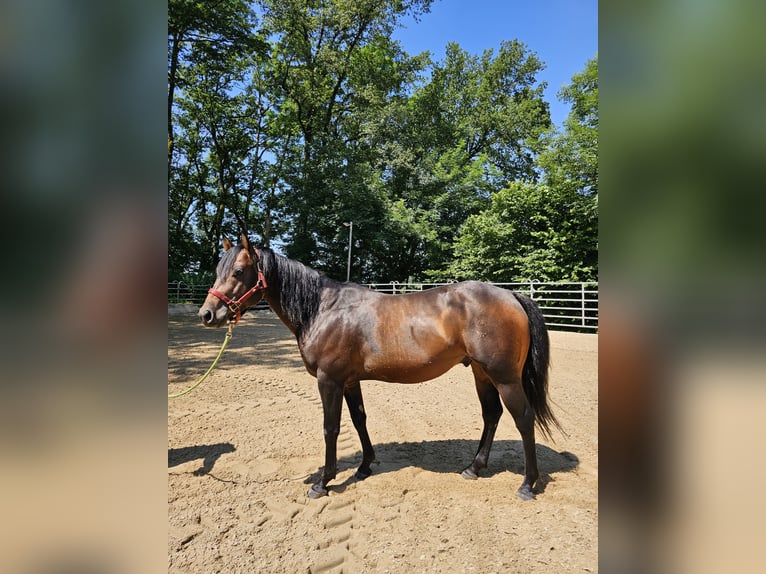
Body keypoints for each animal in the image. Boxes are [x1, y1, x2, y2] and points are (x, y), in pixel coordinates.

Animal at [198, 234, 562, 500]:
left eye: (238, 272)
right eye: (218, 271)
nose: (207, 314)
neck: (322, 309)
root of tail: (512, 296)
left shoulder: (329, 380)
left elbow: (331, 428)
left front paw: (323, 482)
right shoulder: (349, 381)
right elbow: (359, 419)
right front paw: (364, 467)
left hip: (505, 377)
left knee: (523, 419)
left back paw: (527, 484)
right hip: (481, 373)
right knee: (492, 415)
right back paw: (474, 468)